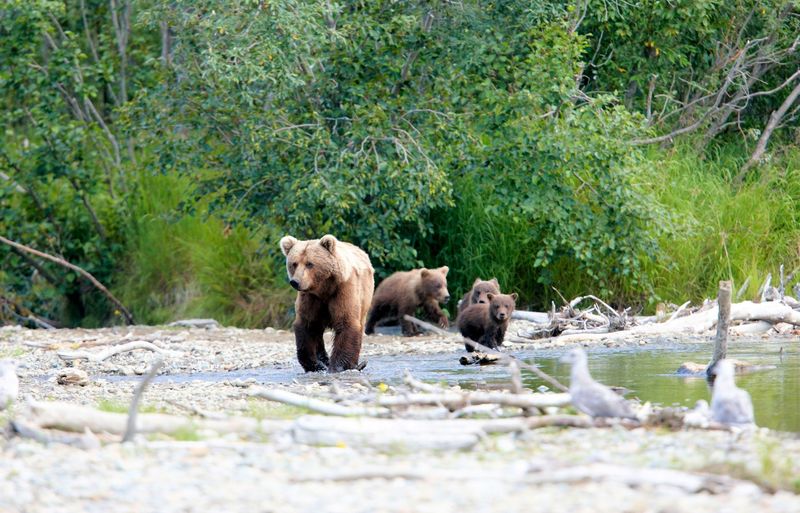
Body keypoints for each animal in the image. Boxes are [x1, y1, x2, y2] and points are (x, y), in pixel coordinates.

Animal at [280, 235, 374, 372]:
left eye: (309, 263)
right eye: (294, 263)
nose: (295, 282)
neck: (323, 289)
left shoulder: (343, 289)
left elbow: (346, 322)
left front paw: (338, 366)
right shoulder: (310, 298)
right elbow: (307, 325)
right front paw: (316, 365)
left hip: (364, 298)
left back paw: (358, 364)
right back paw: (324, 359)